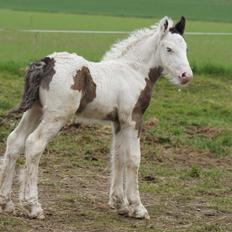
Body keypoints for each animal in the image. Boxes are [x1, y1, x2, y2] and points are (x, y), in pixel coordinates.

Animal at [0, 16, 192, 219]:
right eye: (169, 49)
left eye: (186, 48)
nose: (186, 76)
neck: (134, 71)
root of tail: (47, 63)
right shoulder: (133, 119)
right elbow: (133, 158)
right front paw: (137, 207)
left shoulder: (118, 122)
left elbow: (118, 156)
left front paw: (120, 204)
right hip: (56, 116)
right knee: (34, 144)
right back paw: (33, 206)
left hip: (35, 111)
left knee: (15, 141)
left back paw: (7, 203)